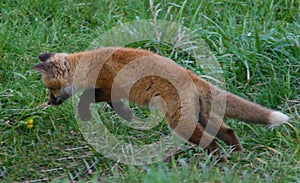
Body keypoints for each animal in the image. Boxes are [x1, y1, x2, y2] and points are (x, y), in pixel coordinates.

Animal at [32, 46, 288, 162]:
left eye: (51, 89)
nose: (50, 103)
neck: (88, 64)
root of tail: (192, 75)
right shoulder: (111, 93)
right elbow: (115, 106)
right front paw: (128, 117)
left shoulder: (107, 86)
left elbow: (92, 99)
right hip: (203, 117)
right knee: (228, 131)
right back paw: (238, 156)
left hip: (181, 123)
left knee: (211, 141)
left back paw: (221, 163)